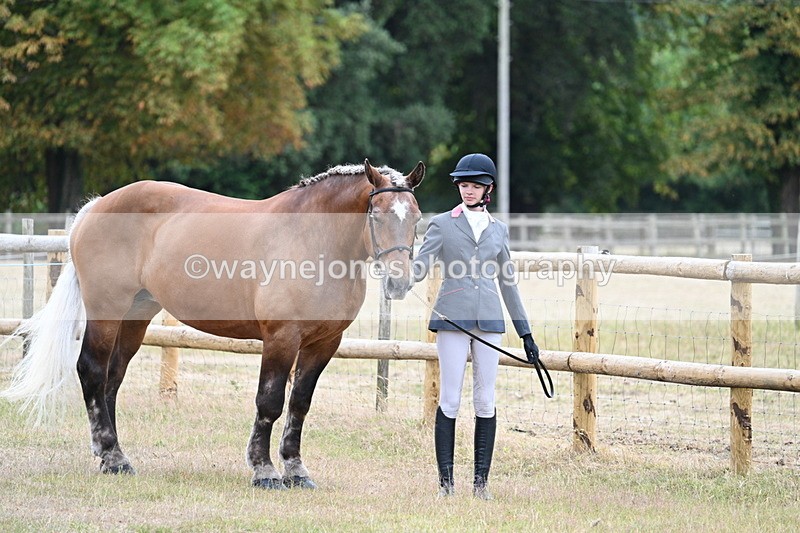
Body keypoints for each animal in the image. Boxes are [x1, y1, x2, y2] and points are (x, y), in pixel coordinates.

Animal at [2, 159, 425, 489]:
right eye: (377, 214)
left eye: (417, 217)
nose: (399, 281)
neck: (313, 238)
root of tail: (96, 207)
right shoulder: (281, 338)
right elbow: (270, 402)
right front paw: (264, 471)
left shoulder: (324, 343)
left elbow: (299, 405)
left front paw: (296, 471)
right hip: (106, 310)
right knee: (91, 371)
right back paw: (113, 457)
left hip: (135, 317)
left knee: (111, 378)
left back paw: (112, 457)